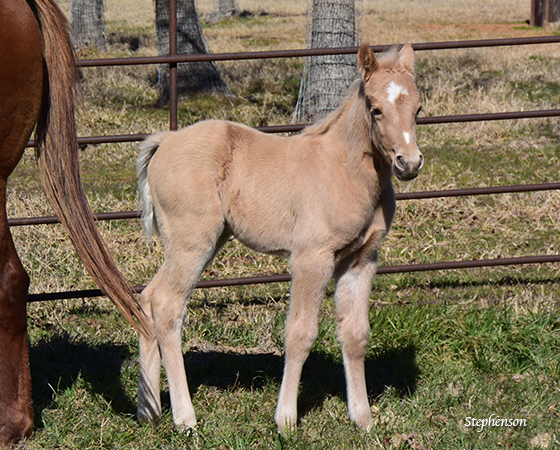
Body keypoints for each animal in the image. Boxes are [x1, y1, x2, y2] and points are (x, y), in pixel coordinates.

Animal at [137, 43, 424, 432]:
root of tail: (164, 141)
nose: (409, 163)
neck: (343, 170)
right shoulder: (311, 257)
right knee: (167, 306)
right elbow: (300, 333)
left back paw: (148, 410)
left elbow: (355, 334)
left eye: (418, 109)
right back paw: (185, 418)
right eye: (376, 109)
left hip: (196, 242)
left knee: (148, 297)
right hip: (192, 241)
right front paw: (286, 419)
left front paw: (362, 418)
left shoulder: (361, 259)